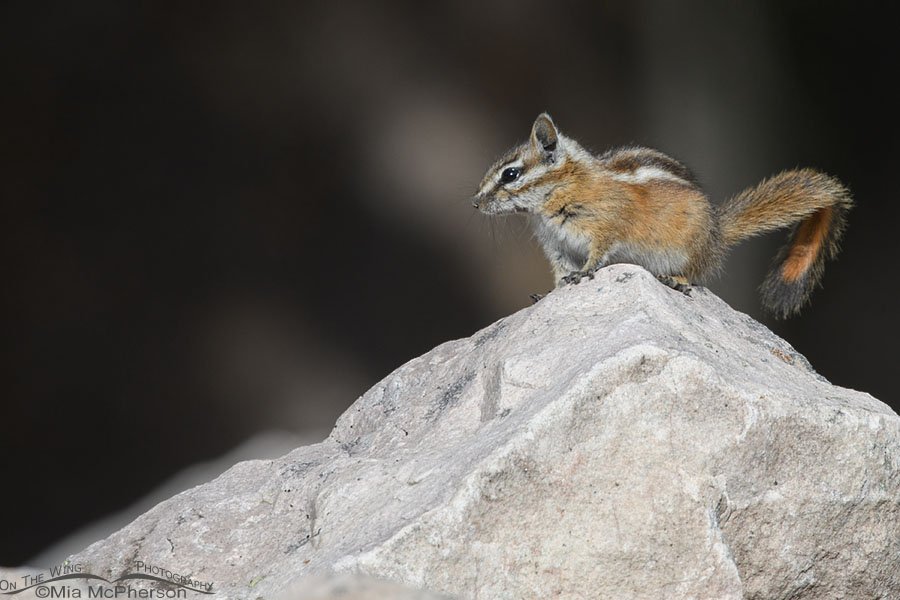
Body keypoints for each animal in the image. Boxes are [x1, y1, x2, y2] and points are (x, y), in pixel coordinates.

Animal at [472, 113, 852, 318]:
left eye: (510, 175)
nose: (474, 203)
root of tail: (717, 231)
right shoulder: (556, 246)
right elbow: (560, 273)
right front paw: (549, 292)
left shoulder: (605, 225)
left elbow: (599, 251)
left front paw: (585, 272)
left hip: (688, 251)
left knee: (696, 275)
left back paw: (677, 280)